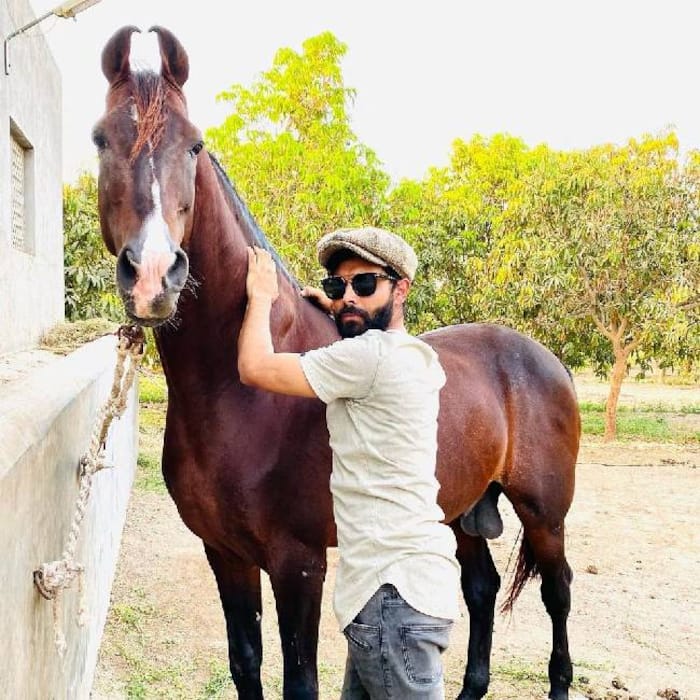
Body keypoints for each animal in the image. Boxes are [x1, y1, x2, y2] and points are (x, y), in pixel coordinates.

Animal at [93, 25, 580, 700]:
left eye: (194, 145)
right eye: (100, 140)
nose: (153, 276)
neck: (241, 399)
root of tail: (541, 358)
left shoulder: (298, 564)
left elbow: (300, 680)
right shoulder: (225, 553)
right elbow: (245, 663)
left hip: (544, 514)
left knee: (557, 593)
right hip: (460, 510)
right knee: (480, 590)